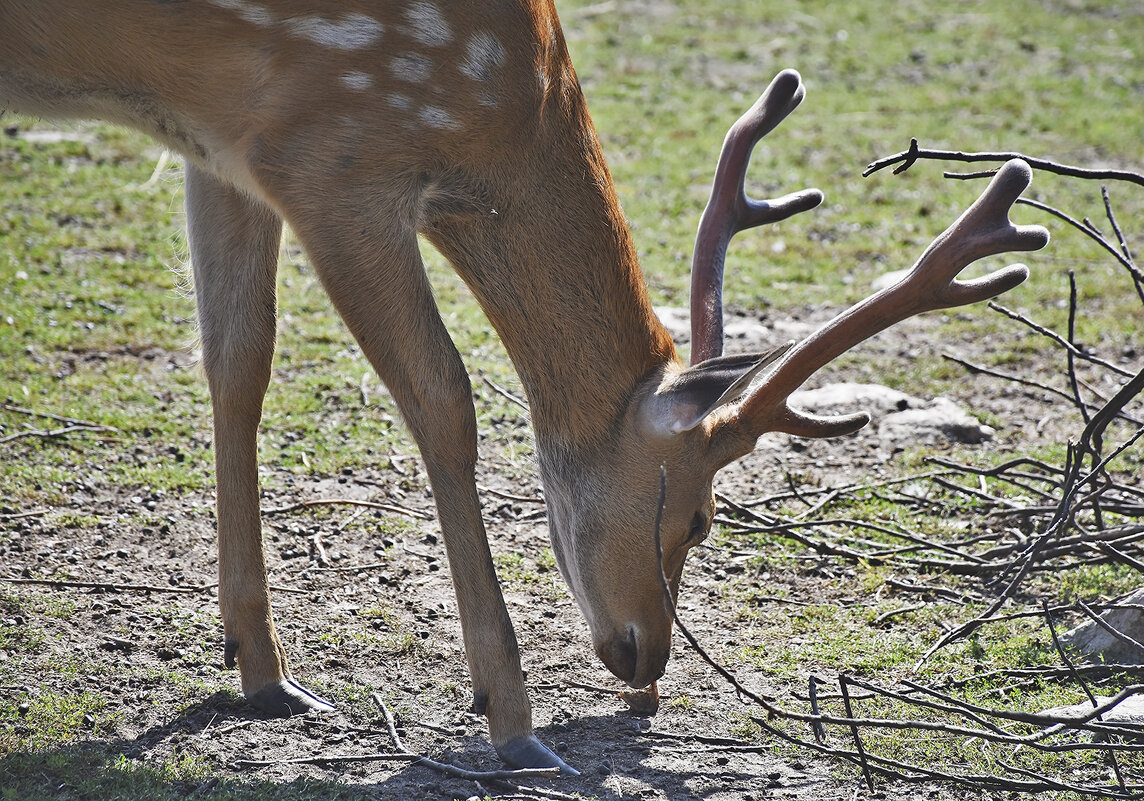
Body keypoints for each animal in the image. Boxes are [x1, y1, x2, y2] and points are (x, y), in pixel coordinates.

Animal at [0, 0, 1047, 778]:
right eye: (701, 517)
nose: (647, 658)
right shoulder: (329, 158)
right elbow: (445, 402)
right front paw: (511, 716)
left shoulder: (224, 147)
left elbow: (238, 361)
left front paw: (262, 672)